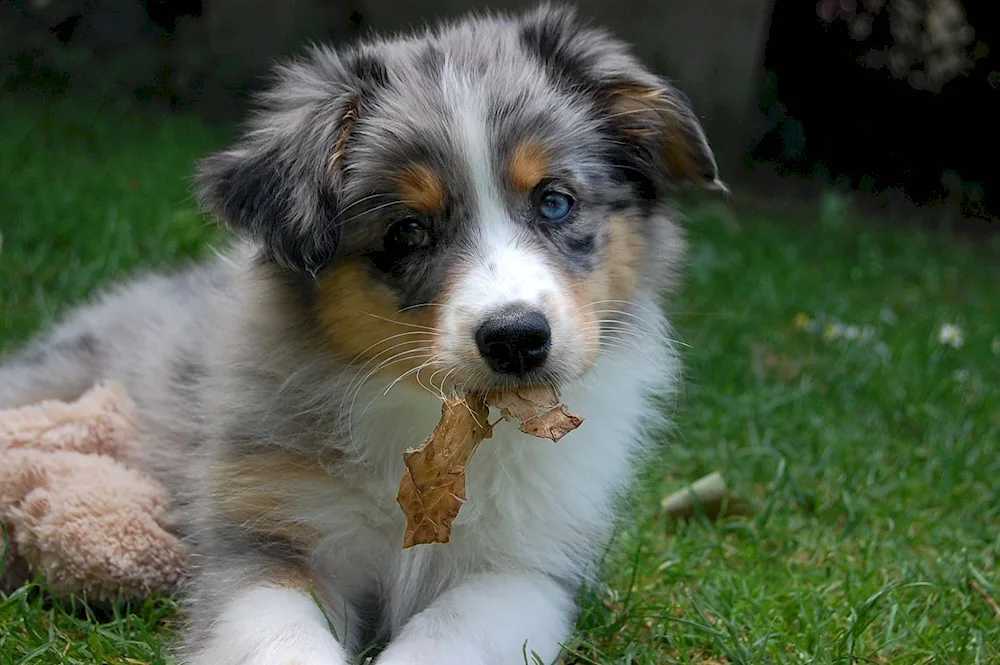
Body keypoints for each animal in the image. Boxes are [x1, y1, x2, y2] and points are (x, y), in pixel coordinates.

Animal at [0, 5, 724, 664]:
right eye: (407, 231)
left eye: (555, 201)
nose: (517, 338)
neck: (431, 421)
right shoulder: (260, 537)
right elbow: (285, 636)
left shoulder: (528, 564)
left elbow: (453, 632)